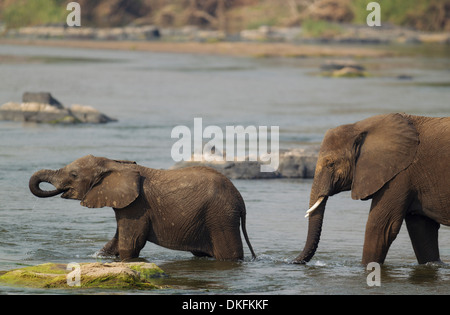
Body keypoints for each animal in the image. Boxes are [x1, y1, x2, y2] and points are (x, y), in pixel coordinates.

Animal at [29, 156, 256, 262]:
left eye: (74, 175)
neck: (114, 163)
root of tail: (240, 200)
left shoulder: (136, 205)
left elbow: (130, 244)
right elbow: (116, 242)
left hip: (220, 217)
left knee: (229, 254)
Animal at [296, 114, 450, 266]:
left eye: (331, 164)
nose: (294, 261)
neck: (360, 126)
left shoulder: (399, 175)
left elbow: (380, 228)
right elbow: (422, 229)